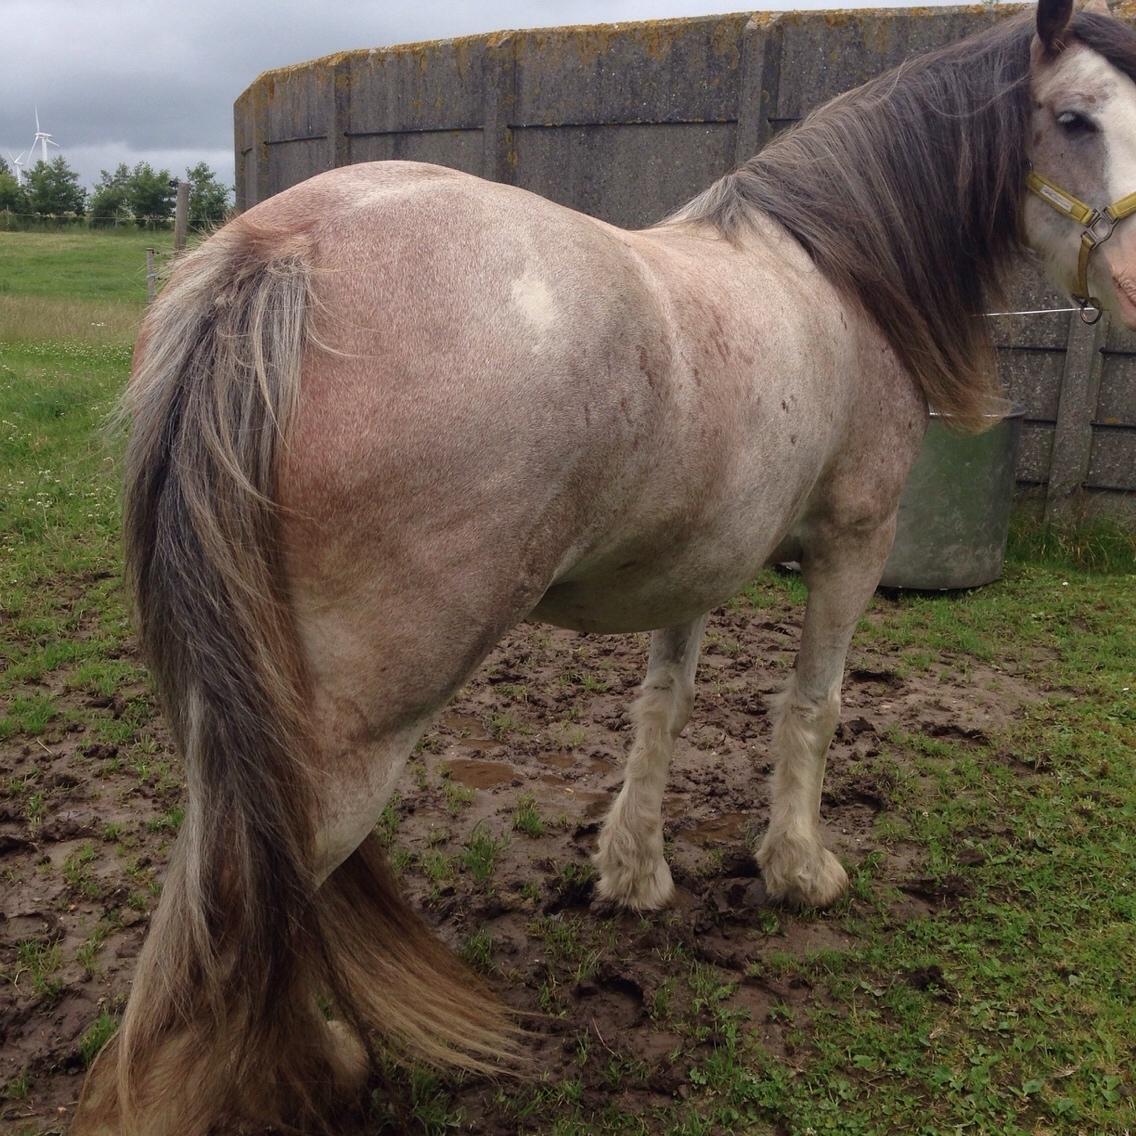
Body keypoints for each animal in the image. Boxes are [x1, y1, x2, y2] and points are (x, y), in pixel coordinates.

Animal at [77, 0, 1136, 1131]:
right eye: (1074, 118)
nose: (1133, 287)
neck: (828, 273)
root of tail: (283, 251)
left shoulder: (696, 561)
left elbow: (661, 705)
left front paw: (634, 869)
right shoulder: (856, 539)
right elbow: (813, 706)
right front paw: (798, 867)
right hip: (342, 749)